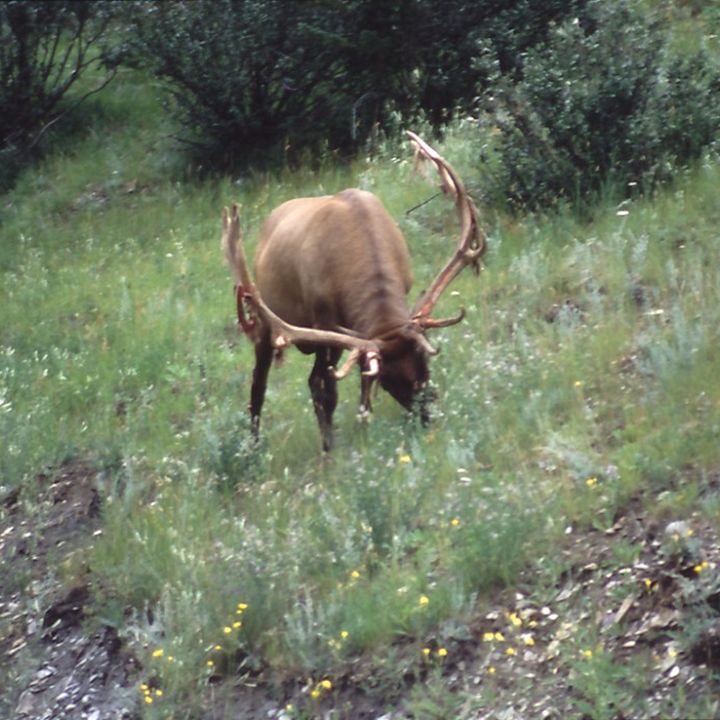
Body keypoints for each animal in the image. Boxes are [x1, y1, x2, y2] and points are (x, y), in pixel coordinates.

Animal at [221, 132, 486, 451]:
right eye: (390, 378)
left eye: (425, 363)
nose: (427, 418)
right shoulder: (324, 319)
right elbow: (328, 389)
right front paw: (332, 448)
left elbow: (359, 379)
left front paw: (364, 422)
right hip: (267, 323)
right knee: (262, 385)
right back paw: (257, 446)